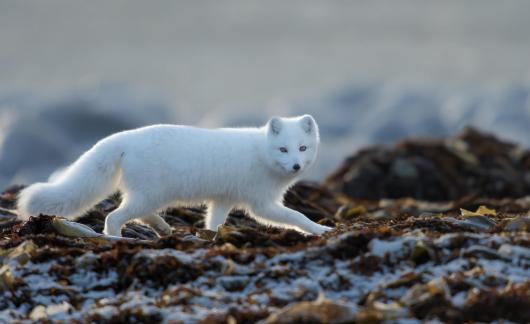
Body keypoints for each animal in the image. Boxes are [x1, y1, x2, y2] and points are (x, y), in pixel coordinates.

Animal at [17, 115, 330, 237]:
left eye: (303, 148)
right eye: (283, 149)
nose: (296, 166)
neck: (262, 155)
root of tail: (123, 138)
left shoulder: (223, 199)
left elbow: (214, 221)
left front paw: (212, 236)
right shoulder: (261, 204)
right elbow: (296, 216)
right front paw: (319, 229)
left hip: (149, 196)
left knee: (140, 215)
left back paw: (164, 229)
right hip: (150, 195)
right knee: (114, 217)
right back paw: (117, 239)